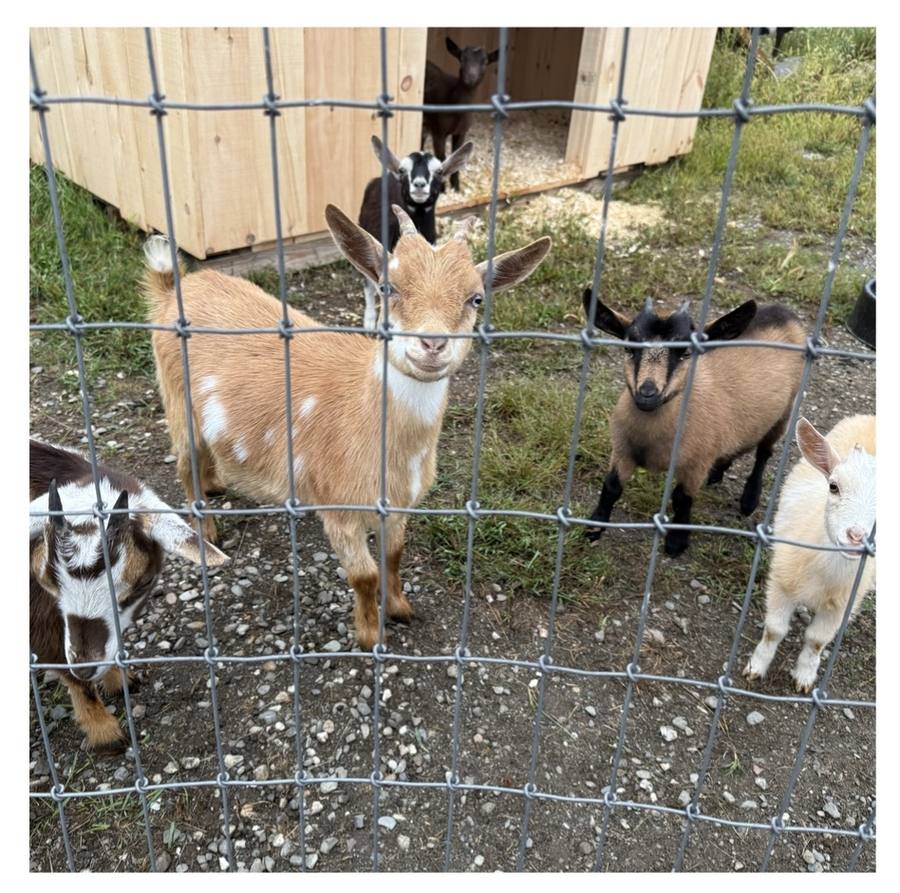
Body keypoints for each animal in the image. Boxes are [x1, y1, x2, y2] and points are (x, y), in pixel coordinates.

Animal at [30, 440, 227, 753]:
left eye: (143, 582)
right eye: (47, 580)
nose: (87, 667)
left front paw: (117, 680)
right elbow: (62, 663)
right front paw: (104, 732)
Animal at [144, 207, 550, 649]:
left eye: (476, 298)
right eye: (388, 286)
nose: (432, 344)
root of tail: (170, 289)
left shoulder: (398, 505)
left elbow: (394, 555)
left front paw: (400, 609)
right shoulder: (338, 509)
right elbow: (364, 574)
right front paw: (370, 635)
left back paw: (216, 483)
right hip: (176, 401)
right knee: (184, 464)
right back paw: (208, 530)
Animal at [422, 37, 499, 192]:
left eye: (485, 62)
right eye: (462, 58)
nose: (470, 77)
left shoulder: (461, 131)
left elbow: (458, 157)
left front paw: (456, 188)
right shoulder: (439, 130)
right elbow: (442, 157)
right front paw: (442, 189)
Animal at [581, 293, 805, 556]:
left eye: (686, 352)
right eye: (629, 347)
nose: (647, 393)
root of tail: (783, 312)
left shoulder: (696, 463)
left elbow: (682, 498)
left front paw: (677, 542)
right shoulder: (623, 450)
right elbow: (611, 486)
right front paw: (594, 526)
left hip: (785, 411)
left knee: (764, 452)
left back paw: (749, 500)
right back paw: (718, 472)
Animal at [744, 415, 875, 692]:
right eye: (833, 486)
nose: (856, 536)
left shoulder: (842, 605)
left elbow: (816, 641)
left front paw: (804, 676)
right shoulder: (781, 583)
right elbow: (774, 630)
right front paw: (756, 667)